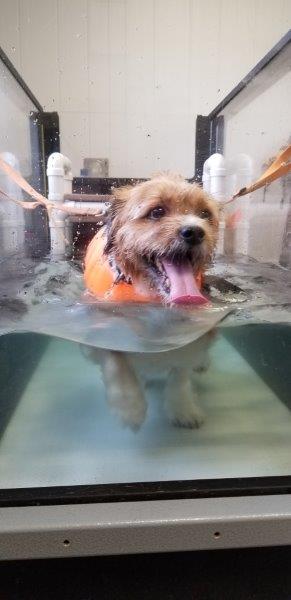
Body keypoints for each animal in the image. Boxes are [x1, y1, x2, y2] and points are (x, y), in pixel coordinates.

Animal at [84, 171, 219, 428]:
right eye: (157, 212)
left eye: (204, 214)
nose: (195, 231)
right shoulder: (100, 325)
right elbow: (115, 361)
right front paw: (129, 406)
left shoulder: (190, 336)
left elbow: (181, 372)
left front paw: (183, 406)